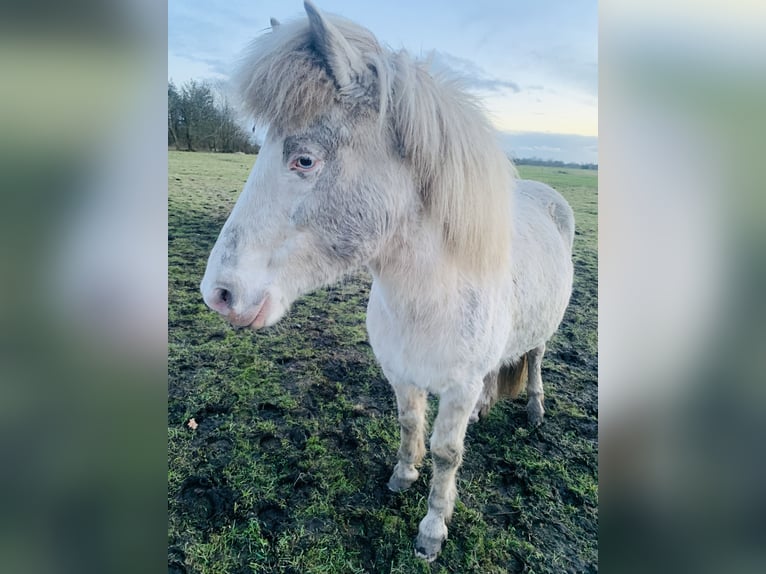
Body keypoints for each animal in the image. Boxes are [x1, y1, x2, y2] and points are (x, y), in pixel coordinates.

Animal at [201, 2, 572, 564]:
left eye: (304, 159)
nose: (218, 294)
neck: (430, 298)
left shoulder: (458, 387)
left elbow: (446, 453)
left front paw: (432, 530)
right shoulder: (401, 373)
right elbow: (409, 424)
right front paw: (402, 476)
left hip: (541, 338)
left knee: (534, 360)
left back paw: (534, 409)